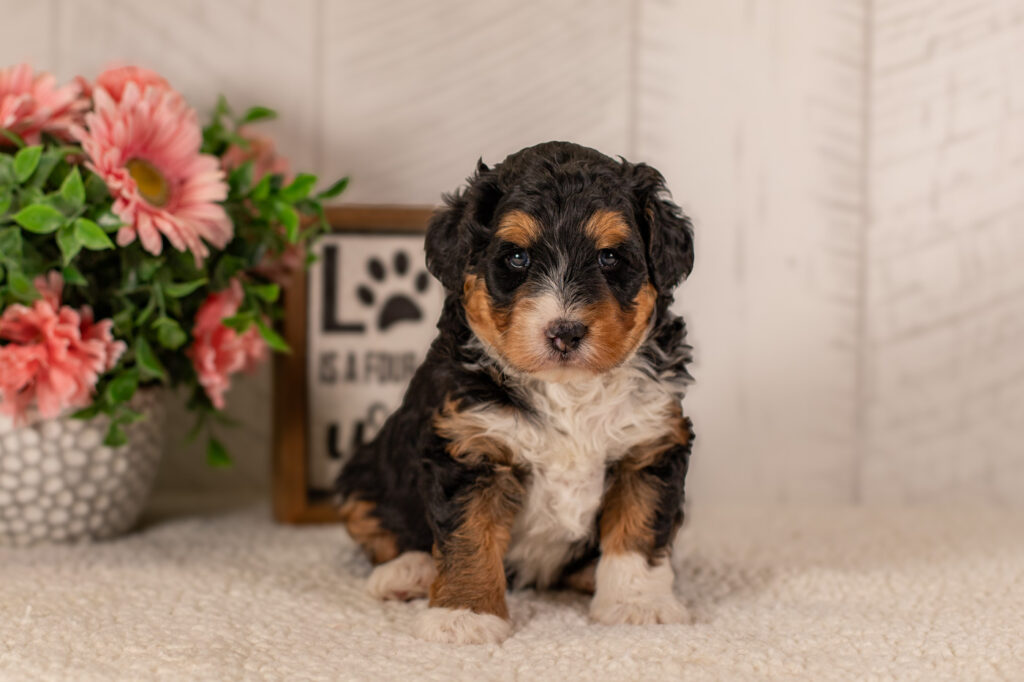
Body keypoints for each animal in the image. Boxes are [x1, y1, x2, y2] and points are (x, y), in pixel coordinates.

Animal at [335, 139, 696, 643]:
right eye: (517, 258)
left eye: (609, 257)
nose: (564, 332)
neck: (567, 390)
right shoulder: (470, 447)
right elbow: (469, 536)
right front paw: (464, 614)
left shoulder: (647, 446)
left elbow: (639, 532)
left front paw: (637, 604)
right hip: (364, 478)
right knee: (384, 529)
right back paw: (407, 572)